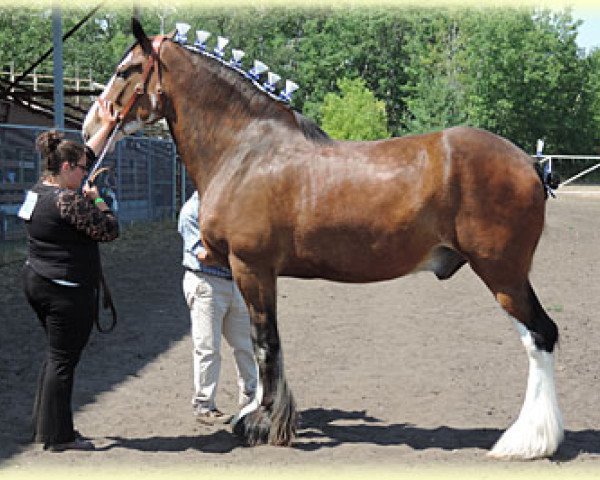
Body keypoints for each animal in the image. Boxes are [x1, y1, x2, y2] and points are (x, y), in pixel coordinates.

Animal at [83, 18, 564, 462]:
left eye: (126, 70)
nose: (89, 130)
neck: (245, 151)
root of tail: (528, 162)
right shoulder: (252, 272)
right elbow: (260, 343)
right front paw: (257, 415)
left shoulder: (252, 267)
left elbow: (264, 342)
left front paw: (262, 423)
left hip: (503, 274)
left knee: (541, 335)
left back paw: (528, 440)